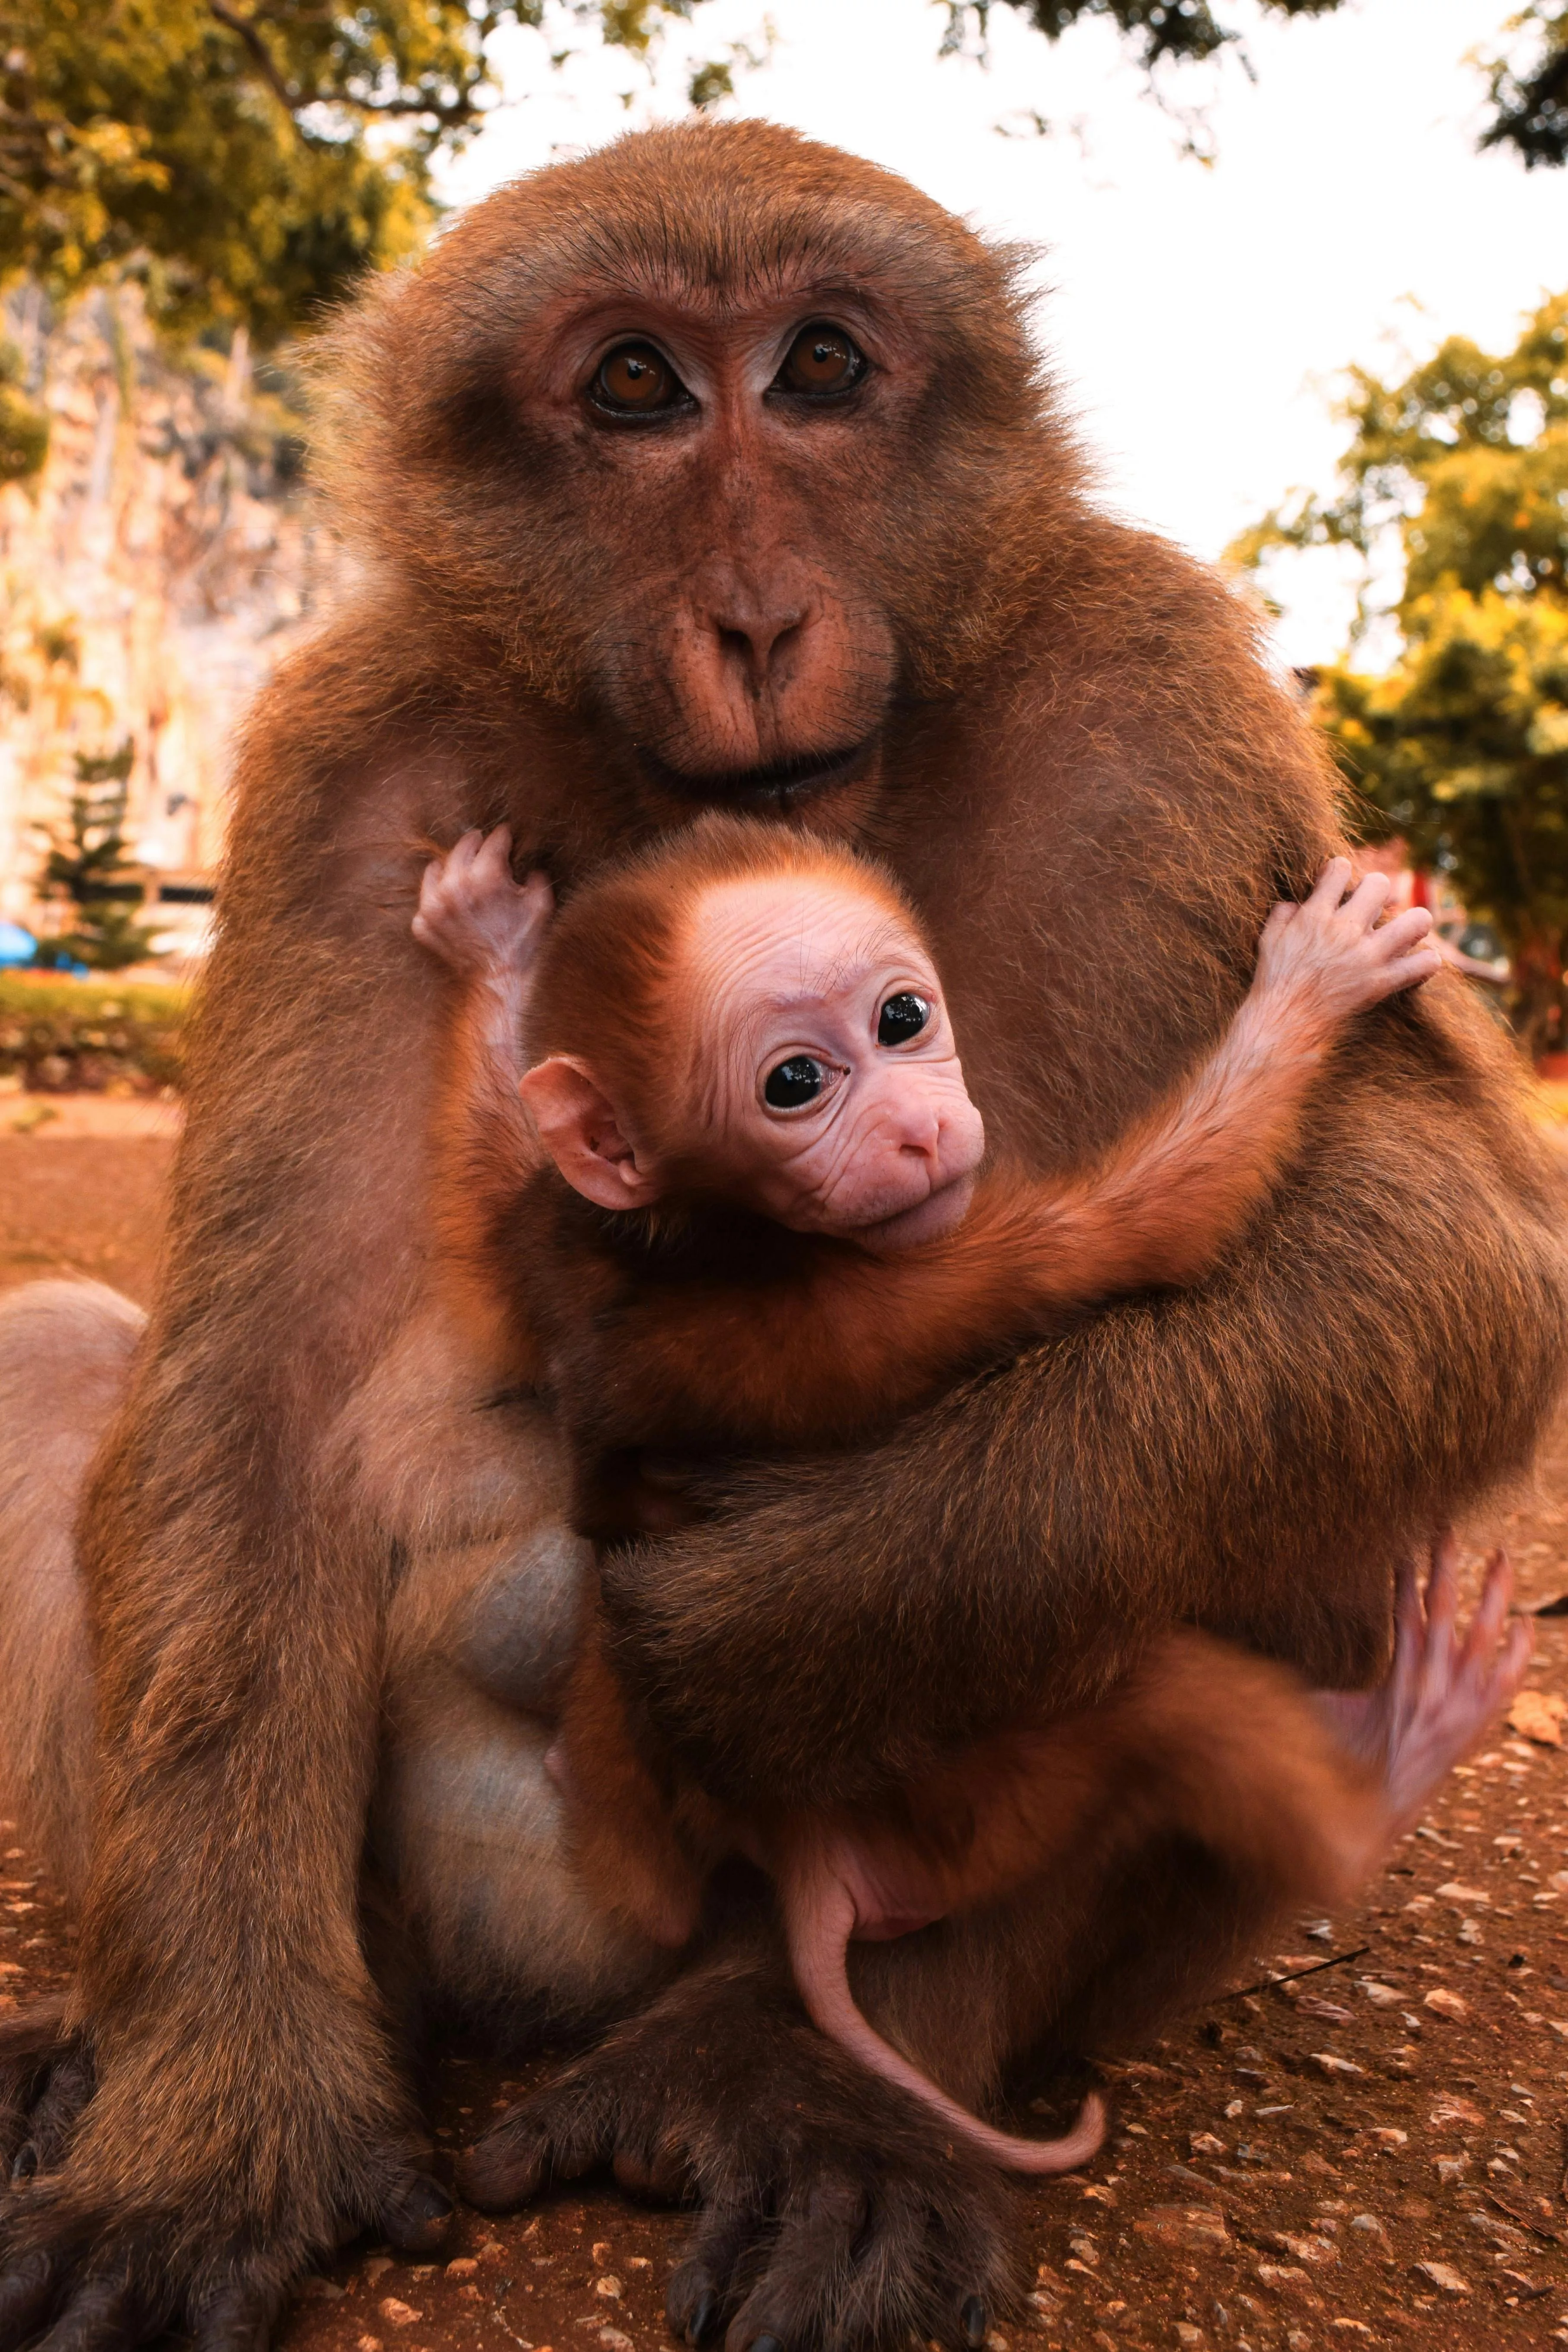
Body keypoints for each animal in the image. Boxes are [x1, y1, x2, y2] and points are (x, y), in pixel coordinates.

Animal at [408, 810, 1444, 2174]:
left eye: (902, 1017)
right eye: (794, 1084)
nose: (915, 1128)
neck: (703, 1229)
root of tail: (808, 1864)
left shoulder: (558, 1239)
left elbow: (490, 1222)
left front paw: (489, 944)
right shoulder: (894, 1277)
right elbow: (1149, 1231)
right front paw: (1314, 981)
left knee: (653, 1881)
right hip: (986, 1799)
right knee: (1168, 1702)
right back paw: (1391, 1766)